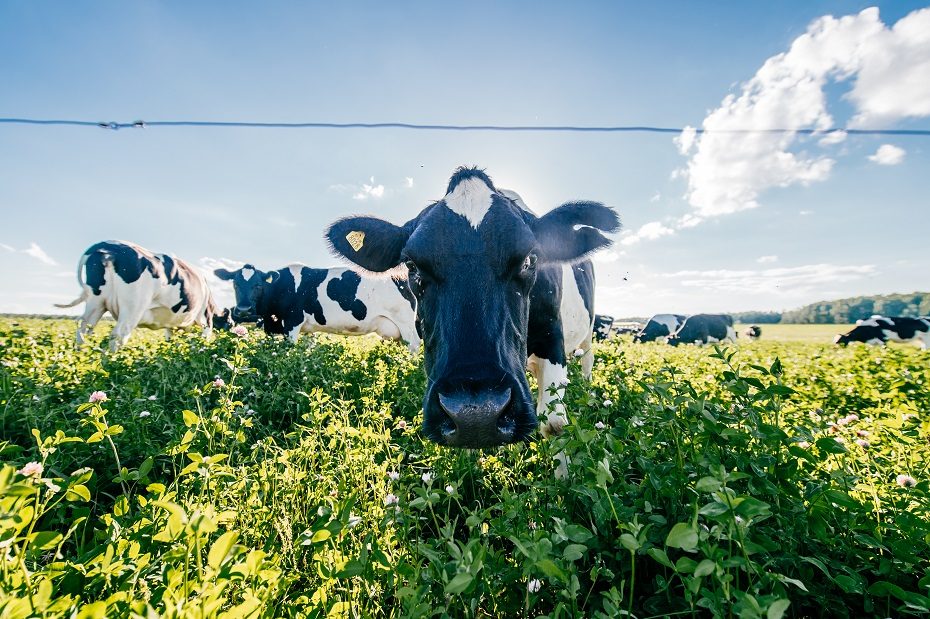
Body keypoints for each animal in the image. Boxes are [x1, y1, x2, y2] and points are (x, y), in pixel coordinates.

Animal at [55, 240, 218, 352]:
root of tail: (107, 245)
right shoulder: (206, 321)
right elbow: (203, 341)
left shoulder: (171, 326)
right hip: (133, 307)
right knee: (118, 335)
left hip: (96, 302)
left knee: (83, 328)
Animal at [212, 262, 418, 354]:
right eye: (235, 284)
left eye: (258, 285)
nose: (243, 310)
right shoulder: (305, 329)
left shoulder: (292, 322)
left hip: (408, 324)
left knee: (414, 347)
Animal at [322, 167, 620, 448]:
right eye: (411, 265)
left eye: (530, 259)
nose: (476, 415)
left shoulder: (551, 339)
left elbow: (555, 425)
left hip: (588, 334)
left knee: (587, 361)